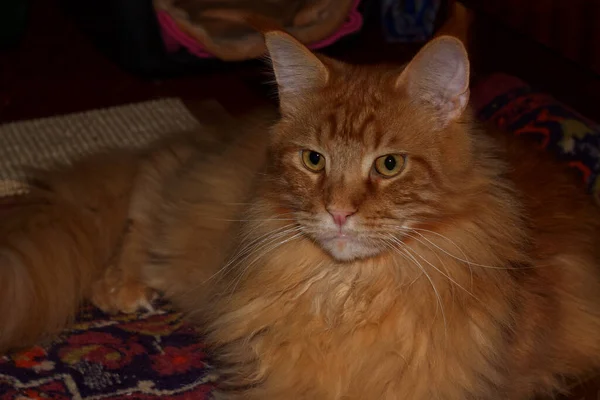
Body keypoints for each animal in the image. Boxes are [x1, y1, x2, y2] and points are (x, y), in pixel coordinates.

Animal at [1, 32, 600, 400]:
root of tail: (224, 127)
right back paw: (120, 284)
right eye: (314, 160)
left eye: (389, 164)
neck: (349, 295)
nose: (337, 212)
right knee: (149, 186)